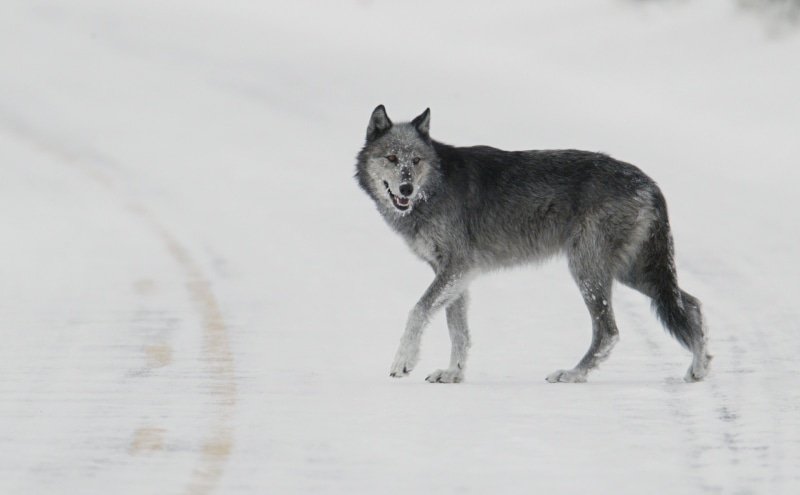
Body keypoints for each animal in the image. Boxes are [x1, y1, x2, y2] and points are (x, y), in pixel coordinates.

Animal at [355, 105, 711, 384]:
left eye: (415, 160)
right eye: (392, 158)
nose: (406, 188)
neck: (435, 186)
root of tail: (648, 182)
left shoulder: (457, 267)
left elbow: (417, 310)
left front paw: (404, 361)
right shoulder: (454, 273)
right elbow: (458, 329)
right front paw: (453, 373)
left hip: (589, 270)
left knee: (609, 332)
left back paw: (572, 374)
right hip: (632, 273)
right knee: (691, 304)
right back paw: (699, 368)